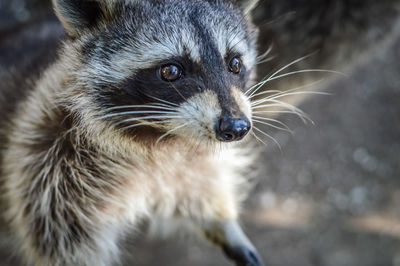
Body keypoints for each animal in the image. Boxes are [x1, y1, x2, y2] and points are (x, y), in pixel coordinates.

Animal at [0, 0, 266, 266]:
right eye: (171, 71)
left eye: (235, 64)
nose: (236, 127)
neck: (157, 136)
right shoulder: (45, 153)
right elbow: (63, 240)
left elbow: (201, 184)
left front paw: (225, 224)